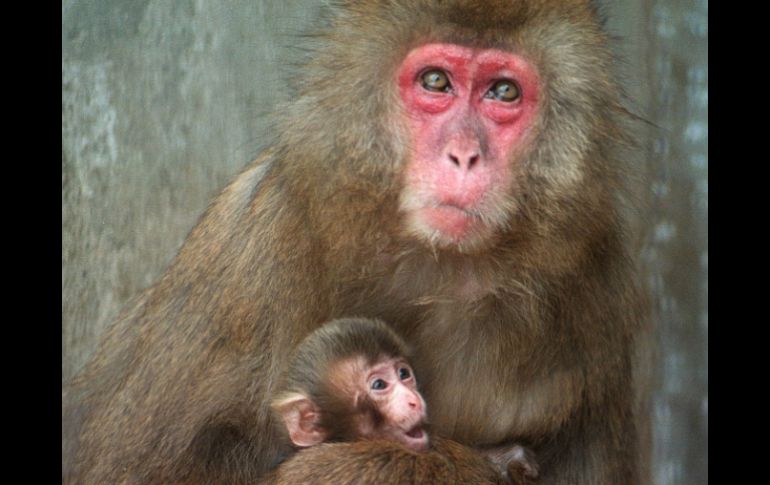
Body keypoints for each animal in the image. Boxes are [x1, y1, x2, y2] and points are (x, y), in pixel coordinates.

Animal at [63, 0, 644, 484]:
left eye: (504, 91)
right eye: (436, 81)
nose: (464, 155)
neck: (437, 265)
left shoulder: (600, 286)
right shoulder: (255, 250)